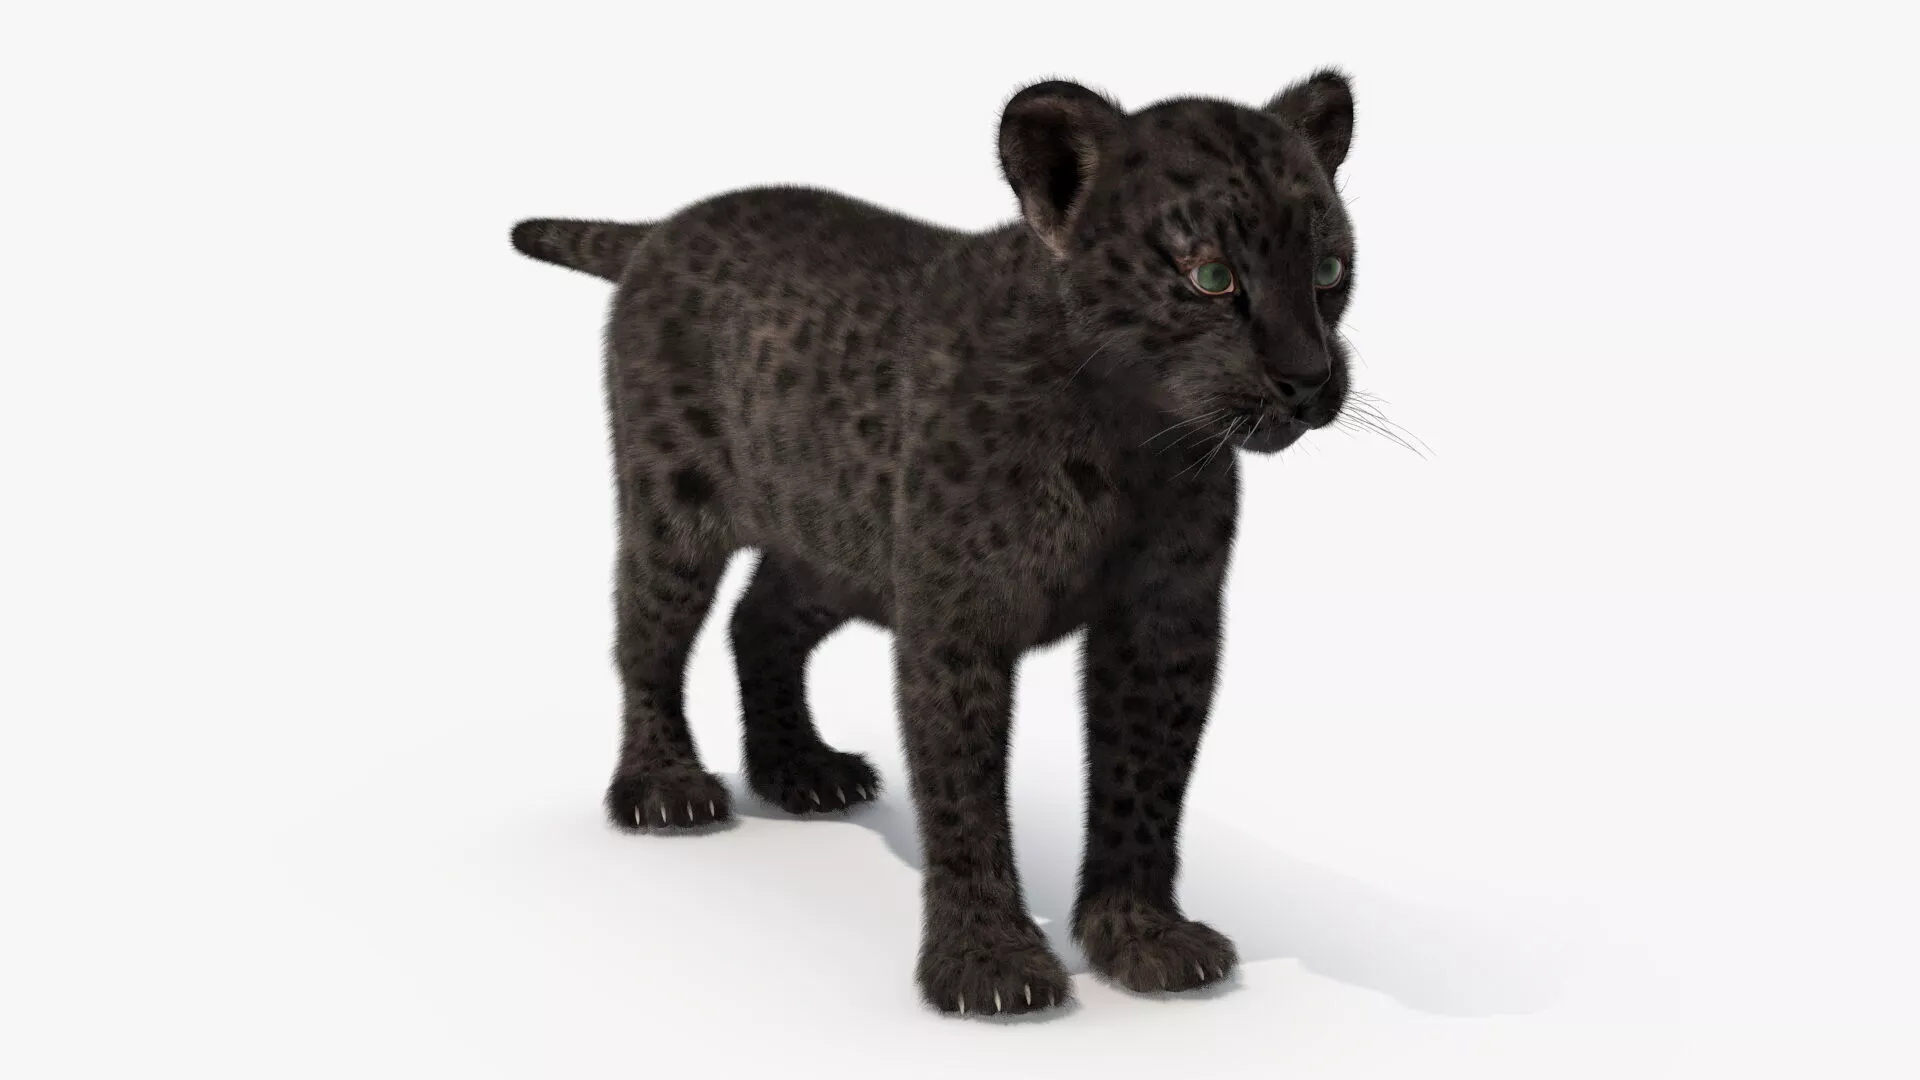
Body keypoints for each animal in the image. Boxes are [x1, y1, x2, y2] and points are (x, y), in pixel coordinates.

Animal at [509, 68, 1360, 1017]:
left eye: (1329, 270)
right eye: (1211, 276)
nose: (1308, 379)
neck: (1132, 440)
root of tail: (663, 227)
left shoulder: (1164, 624)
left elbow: (1146, 780)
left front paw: (1141, 938)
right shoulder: (957, 620)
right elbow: (963, 791)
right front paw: (988, 965)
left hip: (836, 545)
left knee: (757, 620)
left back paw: (801, 769)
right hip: (675, 510)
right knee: (647, 636)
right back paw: (663, 789)